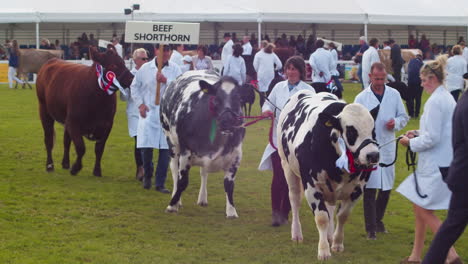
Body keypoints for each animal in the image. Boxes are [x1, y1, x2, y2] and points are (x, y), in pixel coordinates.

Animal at [35, 45, 132, 176]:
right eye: (113, 65)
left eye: (123, 62)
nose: (132, 78)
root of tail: (52, 61)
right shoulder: (74, 122)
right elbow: (81, 147)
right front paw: (76, 168)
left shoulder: (107, 125)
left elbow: (99, 149)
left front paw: (97, 171)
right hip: (44, 110)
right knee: (49, 139)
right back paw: (50, 165)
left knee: (66, 140)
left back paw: (65, 163)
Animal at [161, 70, 247, 219]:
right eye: (216, 98)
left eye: (238, 98)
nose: (227, 121)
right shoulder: (186, 150)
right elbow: (183, 181)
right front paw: (172, 205)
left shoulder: (236, 155)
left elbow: (229, 185)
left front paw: (231, 211)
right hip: (171, 142)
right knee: (174, 171)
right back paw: (177, 200)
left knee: (203, 172)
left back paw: (202, 198)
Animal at [278, 91, 380, 260]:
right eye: (351, 131)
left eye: (373, 130)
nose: (373, 155)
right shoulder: (312, 186)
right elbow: (321, 217)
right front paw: (324, 250)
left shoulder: (357, 190)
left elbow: (342, 215)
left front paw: (337, 243)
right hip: (287, 166)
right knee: (294, 199)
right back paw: (297, 234)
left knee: (331, 208)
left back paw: (330, 235)